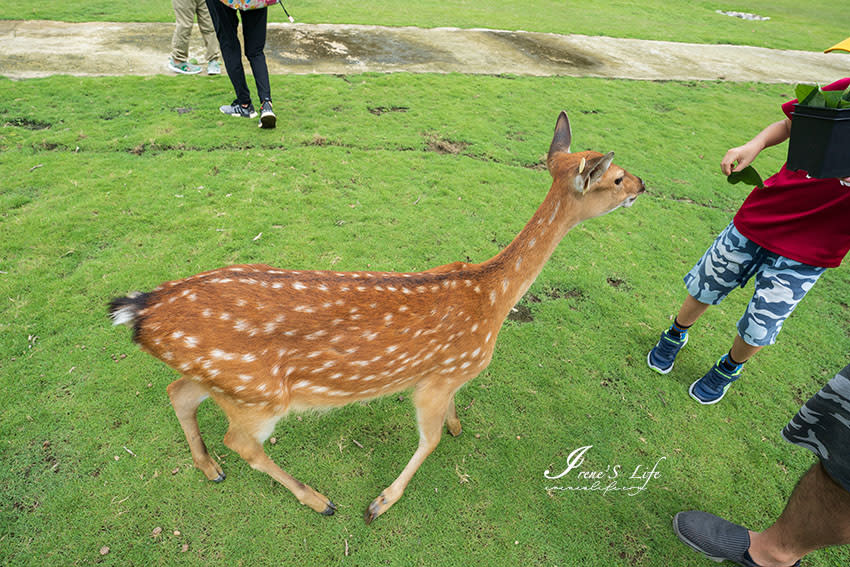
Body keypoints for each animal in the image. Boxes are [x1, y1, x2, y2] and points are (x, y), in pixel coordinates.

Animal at [111, 111, 644, 524]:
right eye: (616, 176)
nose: (643, 183)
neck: (493, 300)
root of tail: (142, 309)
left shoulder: (444, 377)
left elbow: (445, 425)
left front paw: (457, 426)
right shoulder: (438, 377)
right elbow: (429, 439)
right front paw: (380, 502)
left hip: (222, 379)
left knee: (178, 393)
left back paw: (209, 467)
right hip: (258, 396)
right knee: (241, 442)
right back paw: (318, 500)